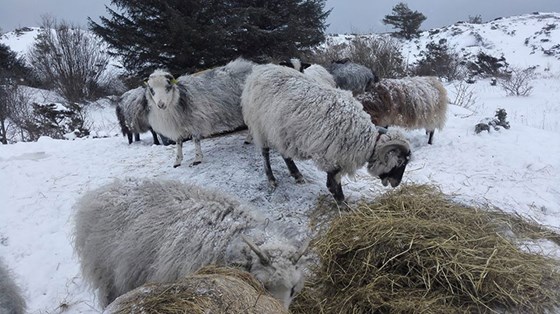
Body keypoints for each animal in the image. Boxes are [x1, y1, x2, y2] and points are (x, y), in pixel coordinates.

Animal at [241, 64, 412, 202]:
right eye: (400, 162)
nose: (396, 184)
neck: (364, 138)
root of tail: (257, 72)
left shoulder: (335, 157)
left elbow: (333, 182)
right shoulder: (331, 157)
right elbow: (332, 184)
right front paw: (342, 204)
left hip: (281, 131)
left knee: (285, 153)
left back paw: (297, 175)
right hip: (260, 126)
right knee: (265, 152)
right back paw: (271, 179)